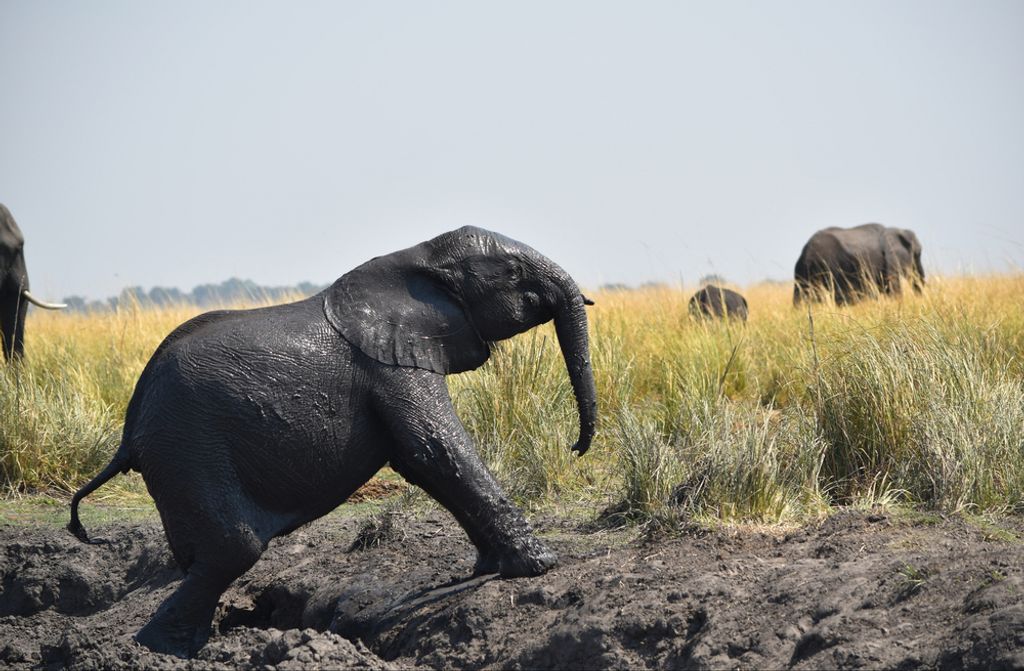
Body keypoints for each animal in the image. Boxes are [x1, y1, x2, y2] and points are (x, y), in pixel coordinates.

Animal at [67, 226, 598, 658]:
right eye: (513, 272)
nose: (576, 448)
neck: (417, 256)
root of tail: (129, 431)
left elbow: (421, 462)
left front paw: (491, 565)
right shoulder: (390, 364)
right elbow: (435, 449)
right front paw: (541, 564)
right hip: (187, 448)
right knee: (232, 550)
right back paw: (162, 653)